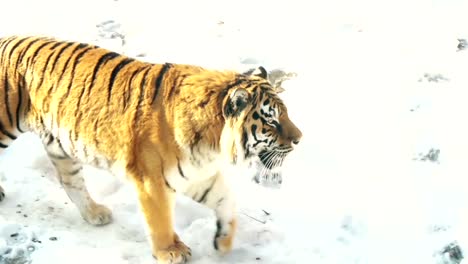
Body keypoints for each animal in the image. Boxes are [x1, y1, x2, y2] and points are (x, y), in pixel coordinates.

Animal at [0, 35, 302, 264]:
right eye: (272, 121)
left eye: (285, 114)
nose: (300, 139)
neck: (211, 144)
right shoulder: (152, 180)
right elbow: (160, 219)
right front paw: (170, 251)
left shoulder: (197, 173)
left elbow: (226, 201)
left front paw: (223, 243)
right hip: (6, 126)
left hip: (60, 145)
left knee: (70, 181)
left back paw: (95, 213)